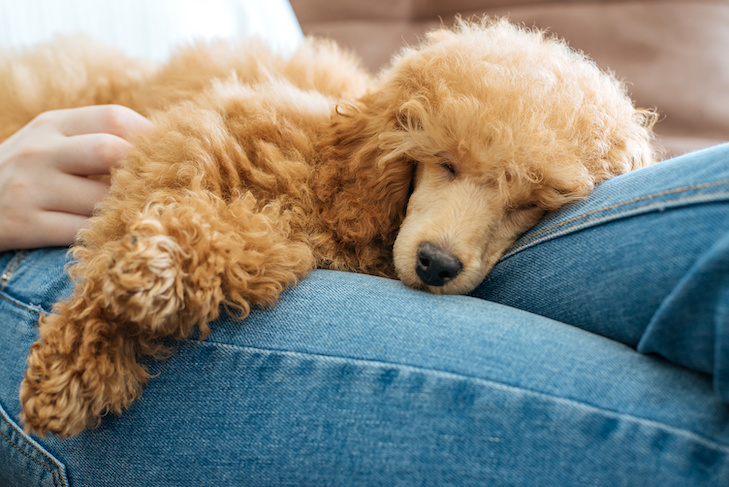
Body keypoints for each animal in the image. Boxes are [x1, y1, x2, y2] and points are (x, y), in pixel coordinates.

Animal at [0, 19, 656, 438]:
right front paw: (82, 358)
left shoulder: (274, 236)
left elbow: (228, 244)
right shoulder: (193, 141)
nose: (437, 265)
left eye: (530, 204)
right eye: (445, 161)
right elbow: (123, 230)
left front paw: (140, 297)